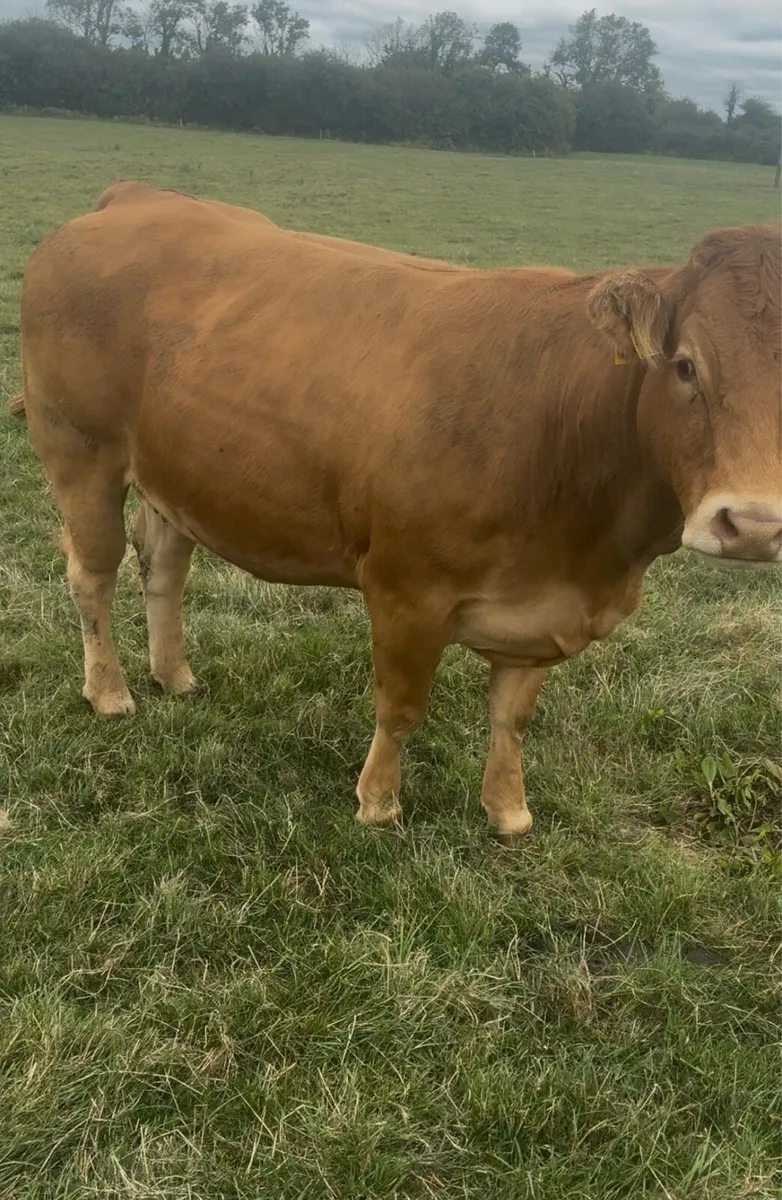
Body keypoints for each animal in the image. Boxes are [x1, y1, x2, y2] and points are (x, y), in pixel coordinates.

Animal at [13, 182, 781, 843]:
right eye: (685, 365)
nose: (753, 524)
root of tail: (136, 198)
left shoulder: (544, 610)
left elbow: (513, 717)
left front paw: (508, 810)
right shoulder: (406, 590)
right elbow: (402, 706)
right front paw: (377, 803)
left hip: (175, 470)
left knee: (165, 567)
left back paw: (173, 675)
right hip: (79, 451)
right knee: (92, 574)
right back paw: (109, 693)